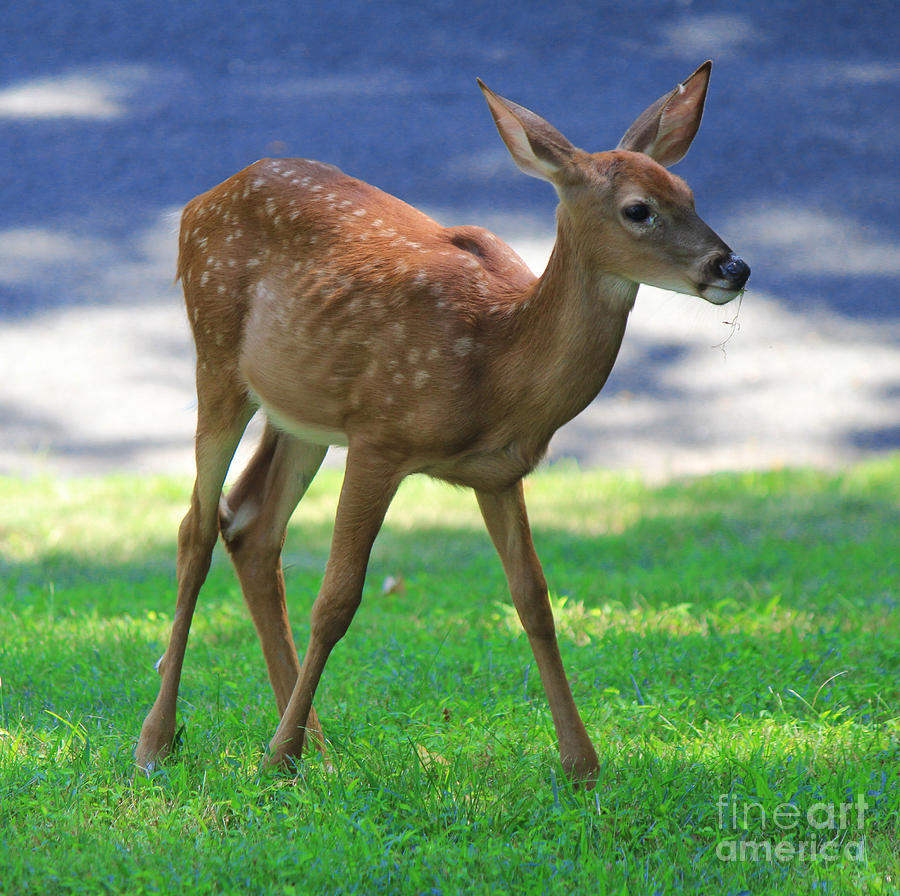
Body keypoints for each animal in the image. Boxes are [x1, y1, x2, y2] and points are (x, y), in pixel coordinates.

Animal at [134, 61, 748, 784]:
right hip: (216, 354)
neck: (496, 364)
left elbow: (534, 601)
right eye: (638, 209)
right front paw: (273, 755)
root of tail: (195, 203)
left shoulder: (498, 472)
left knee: (252, 525)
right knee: (196, 529)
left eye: (689, 192)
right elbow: (337, 600)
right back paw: (164, 741)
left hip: (302, 414)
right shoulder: (379, 435)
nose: (733, 267)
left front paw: (581, 762)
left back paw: (311, 747)